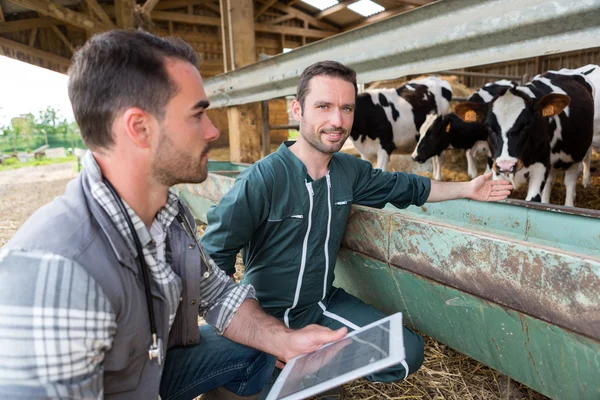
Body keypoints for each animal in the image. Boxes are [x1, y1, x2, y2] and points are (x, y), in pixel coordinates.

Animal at [454, 70, 596, 206]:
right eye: (489, 126)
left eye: (527, 124)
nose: (507, 165)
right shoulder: (497, 168)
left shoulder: (540, 167)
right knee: (550, 181)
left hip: (576, 154)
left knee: (570, 180)